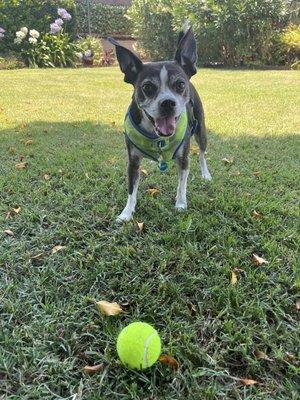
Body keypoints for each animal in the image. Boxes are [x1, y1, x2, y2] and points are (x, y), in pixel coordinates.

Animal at [108, 27, 211, 222]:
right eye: (147, 87)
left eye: (180, 84)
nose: (168, 103)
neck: (157, 137)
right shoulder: (133, 162)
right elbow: (131, 191)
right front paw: (126, 213)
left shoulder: (183, 159)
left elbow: (181, 185)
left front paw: (180, 204)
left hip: (201, 130)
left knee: (202, 153)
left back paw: (206, 174)